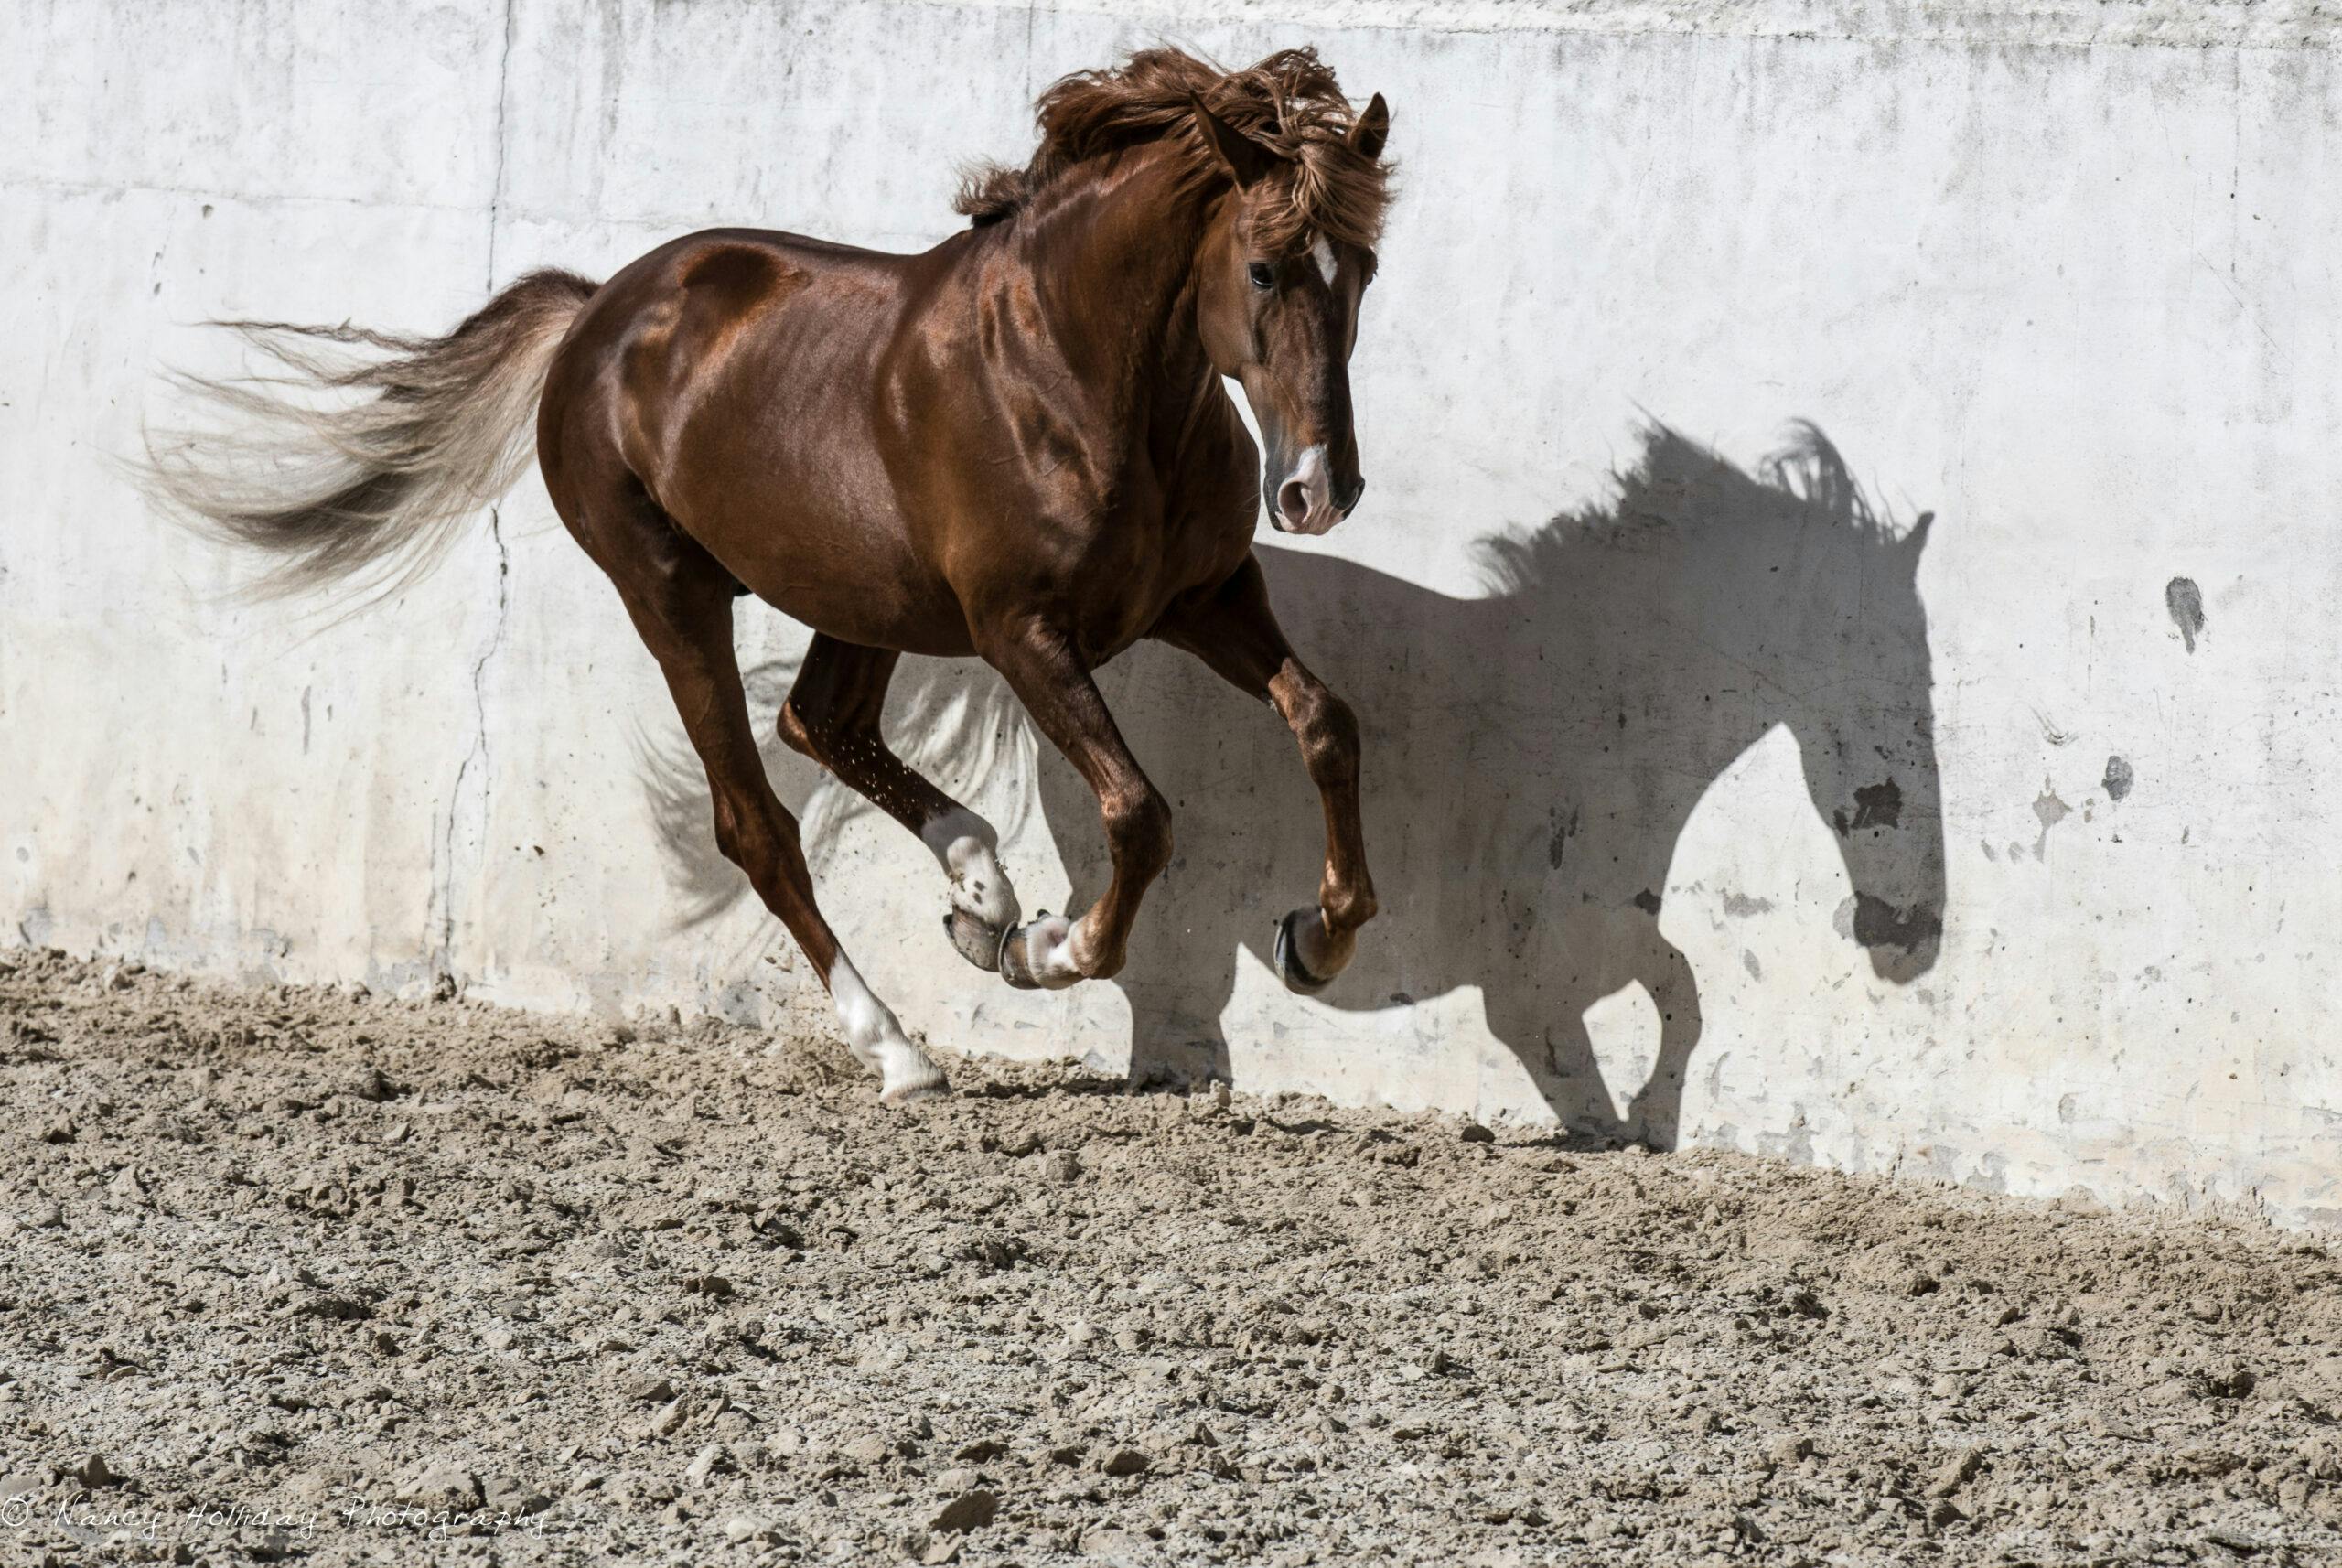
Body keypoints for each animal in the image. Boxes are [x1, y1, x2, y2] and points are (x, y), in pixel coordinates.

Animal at [141, 48, 1386, 1104]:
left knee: (819, 721)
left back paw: (976, 890)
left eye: (1363, 271)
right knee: (757, 821)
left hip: (863, 596)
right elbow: (1139, 812)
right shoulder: (1024, 633)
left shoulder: (1205, 598)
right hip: (672, 595)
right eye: (1264, 268)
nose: (1318, 490)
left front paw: (1316, 937)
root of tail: (593, 313)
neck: (1075, 375)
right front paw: (1048, 948)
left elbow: (1325, 722)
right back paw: (901, 1044)